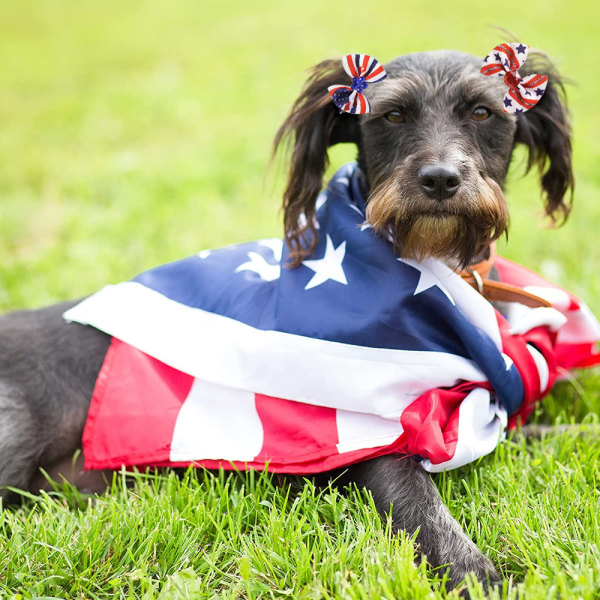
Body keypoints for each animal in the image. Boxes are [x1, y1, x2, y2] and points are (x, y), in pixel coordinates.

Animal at [0, 49, 572, 592]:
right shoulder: (372, 437)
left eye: (482, 112)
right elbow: (425, 508)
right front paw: (476, 574)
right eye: (392, 115)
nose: (439, 179)